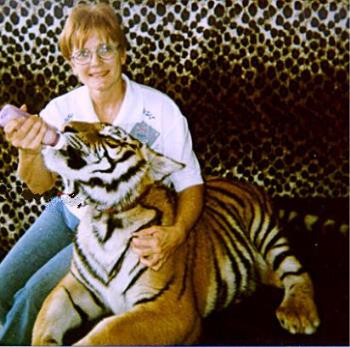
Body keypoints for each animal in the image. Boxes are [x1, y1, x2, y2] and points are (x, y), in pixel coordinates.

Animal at [32, 121, 320, 346]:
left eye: (111, 136)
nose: (65, 126)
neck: (104, 219)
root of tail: (246, 183)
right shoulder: (76, 286)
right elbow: (43, 318)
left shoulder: (171, 308)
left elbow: (108, 331)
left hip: (266, 232)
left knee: (296, 270)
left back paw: (298, 312)